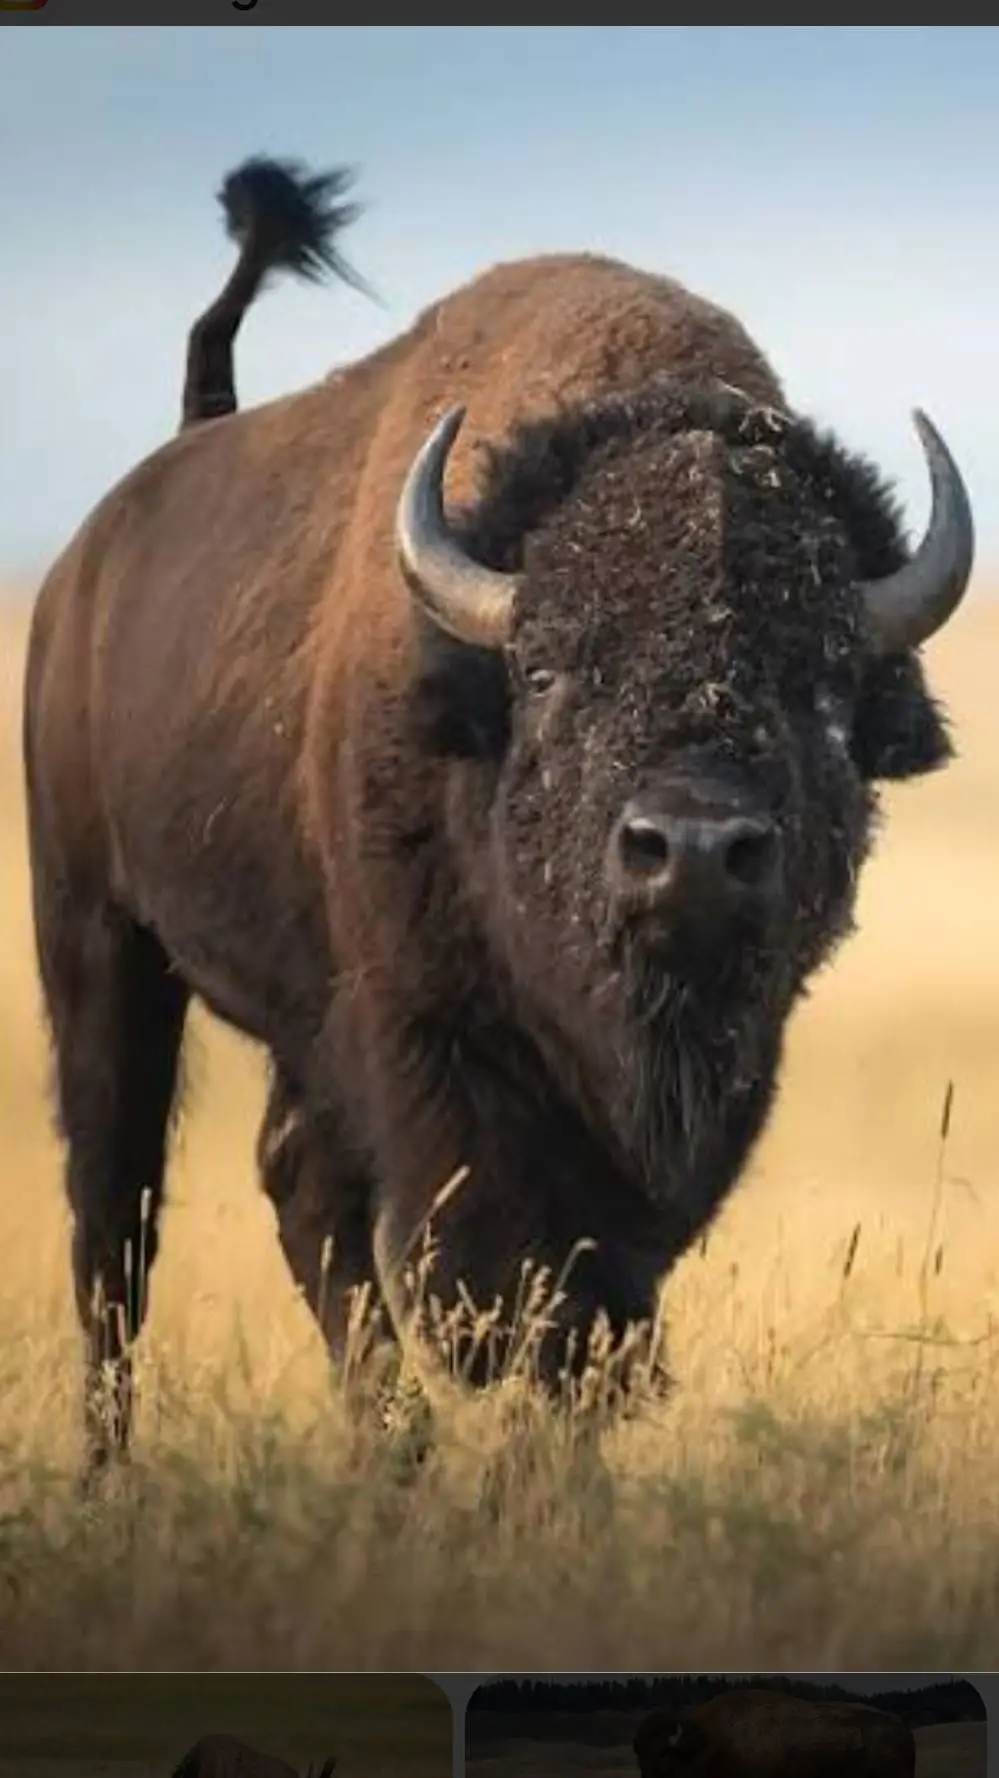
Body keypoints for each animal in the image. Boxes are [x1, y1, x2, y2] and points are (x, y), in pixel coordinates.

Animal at [23, 151, 974, 1463]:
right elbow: (498, 1275)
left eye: (825, 688)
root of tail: (91, 563)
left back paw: (396, 1449)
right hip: (98, 938)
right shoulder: (430, 1044)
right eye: (548, 672)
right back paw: (116, 1468)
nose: (690, 851)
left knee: (293, 1185)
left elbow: (594, 1291)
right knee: (115, 1219)